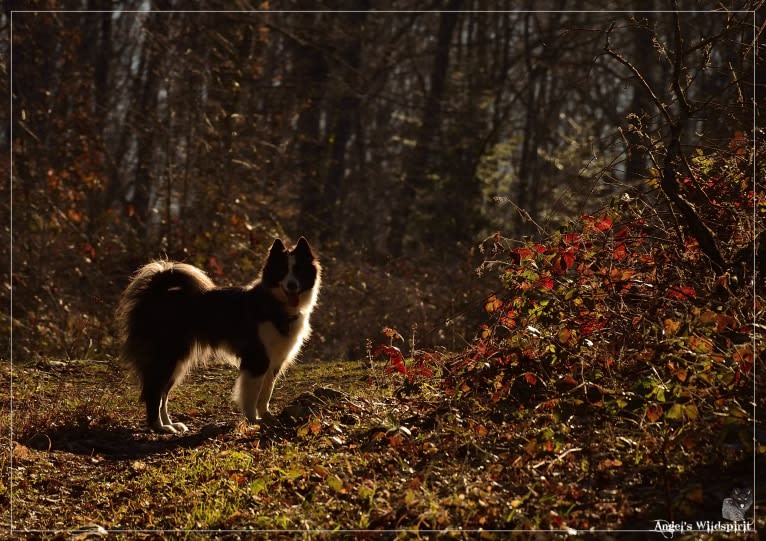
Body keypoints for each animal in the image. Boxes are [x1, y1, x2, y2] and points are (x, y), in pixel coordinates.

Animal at [116, 238, 320, 432]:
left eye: (299, 271)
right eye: (282, 271)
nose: (292, 285)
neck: (275, 304)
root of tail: (154, 293)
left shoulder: (274, 362)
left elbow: (265, 393)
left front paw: (267, 418)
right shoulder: (256, 359)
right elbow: (251, 394)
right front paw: (253, 420)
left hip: (177, 361)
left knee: (162, 394)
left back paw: (171, 425)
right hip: (166, 357)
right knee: (154, 392)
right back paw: (159, 427)